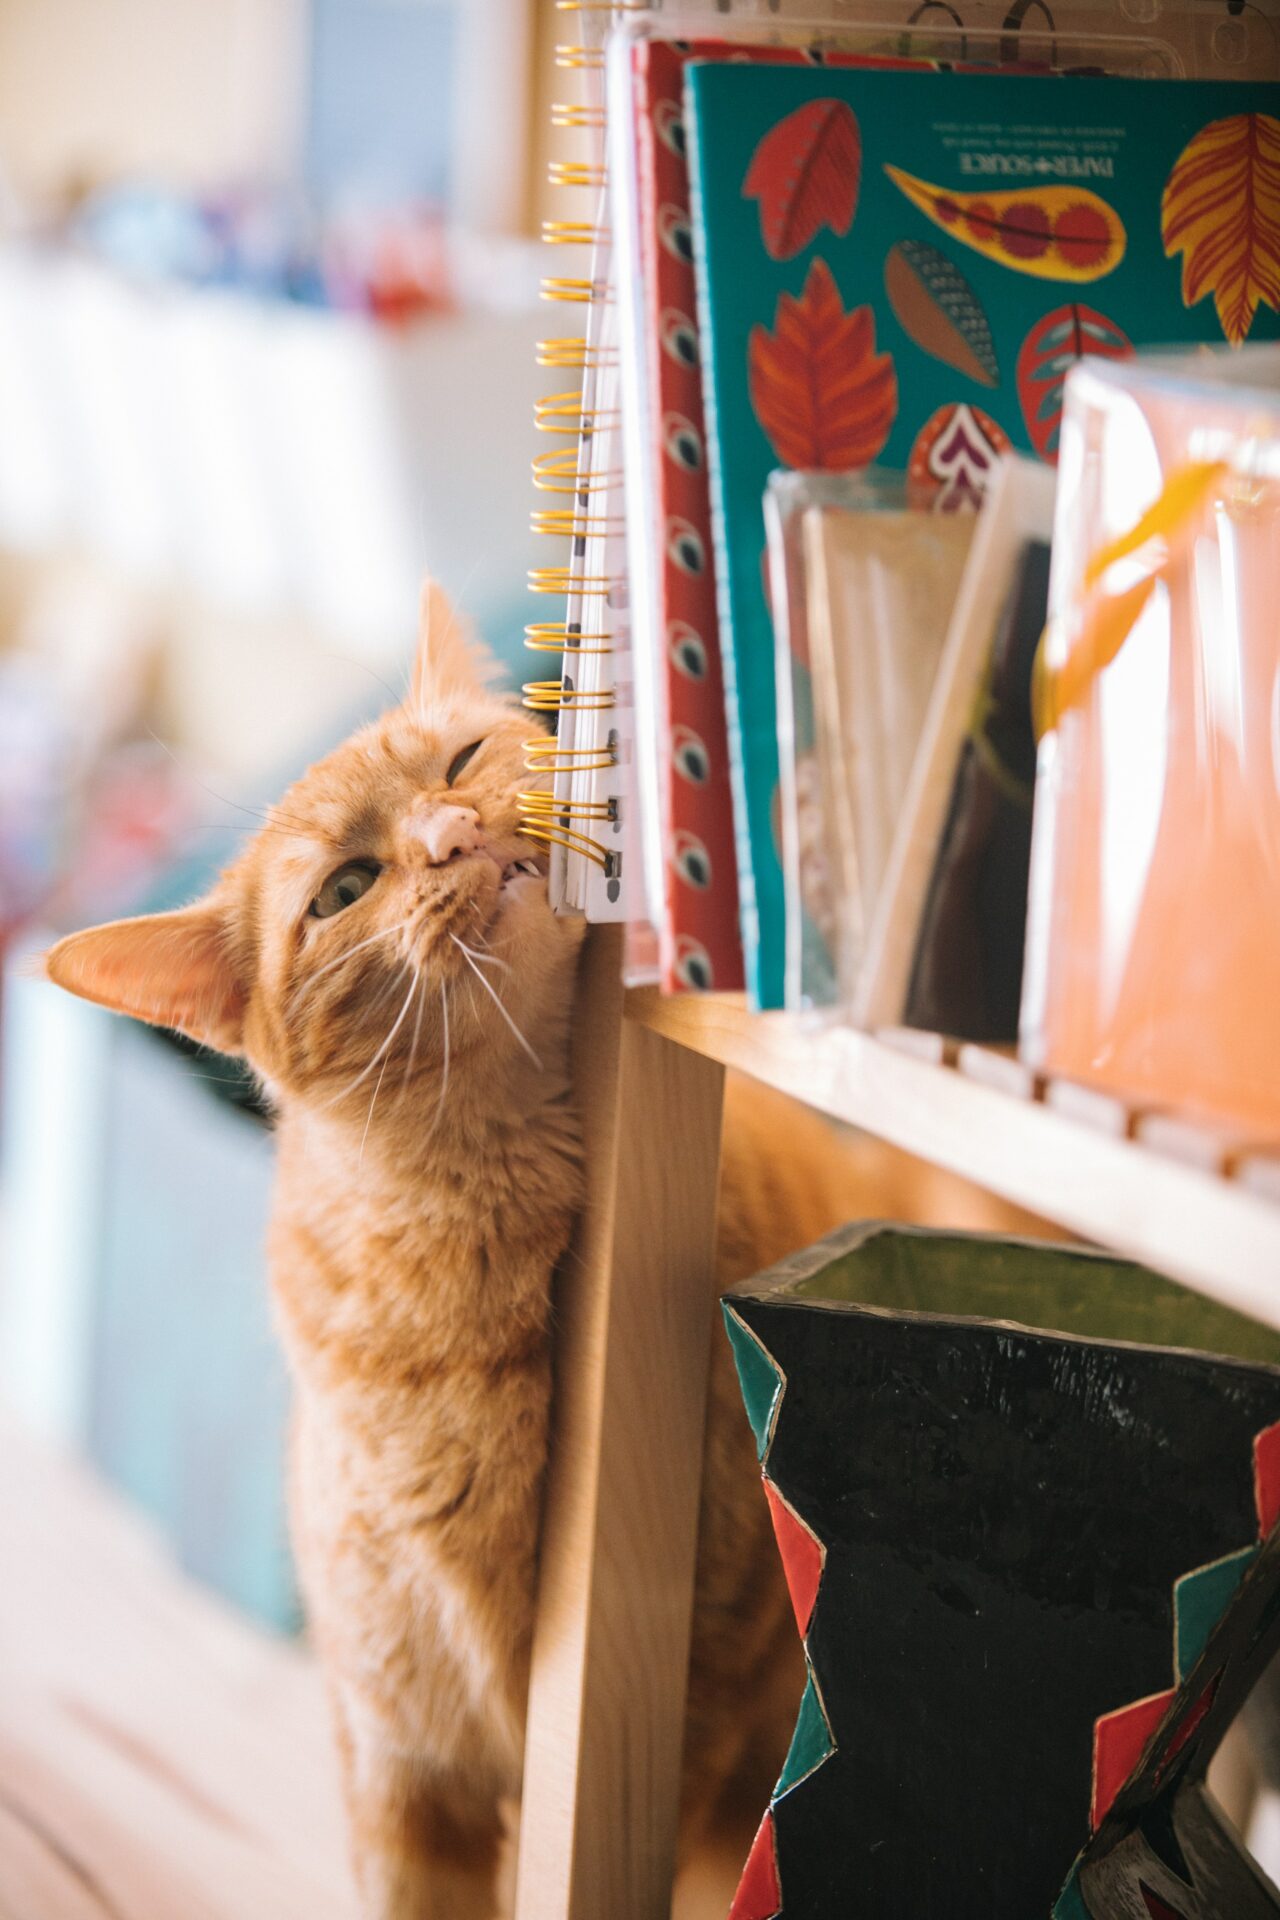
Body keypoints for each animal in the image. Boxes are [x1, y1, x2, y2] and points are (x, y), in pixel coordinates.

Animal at [45, 587, 1028, 1920]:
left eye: (461, 760)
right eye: (343, 886)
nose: (453, 831)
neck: (480, 1249)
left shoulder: (691, 1720)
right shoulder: (401, 1768)